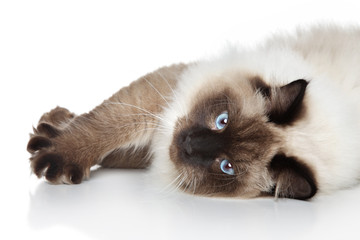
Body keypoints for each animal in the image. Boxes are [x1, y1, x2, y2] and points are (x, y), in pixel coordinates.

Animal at [27, 24, 360, 201]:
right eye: (222, 121)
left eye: (226, 166)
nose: (188, 144)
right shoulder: (163, 100)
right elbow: (107, 126)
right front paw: (54, 137)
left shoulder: (159, 142)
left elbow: (115, 147)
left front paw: (51, 152)